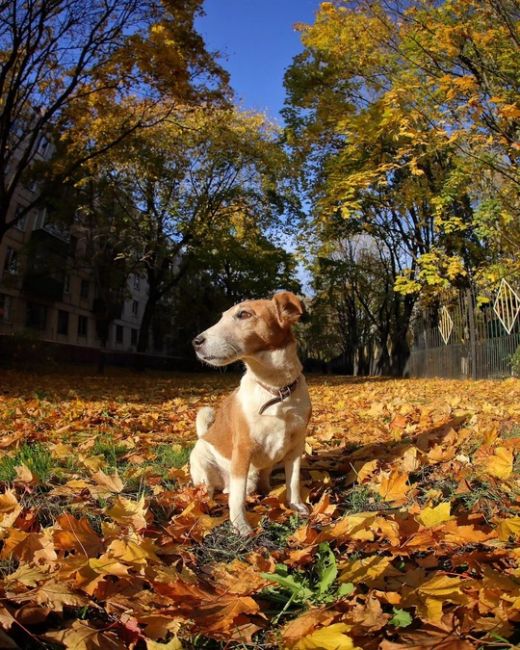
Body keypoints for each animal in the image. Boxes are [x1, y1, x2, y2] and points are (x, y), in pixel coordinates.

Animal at [191, 292, 312, 536]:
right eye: (222, 317)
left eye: (244, 314)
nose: (196, 342)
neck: (276, 390)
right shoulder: (243, 449)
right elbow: (237, 498)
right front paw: (240, 524)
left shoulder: (296, 448)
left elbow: (293, 481)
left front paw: (296, 505)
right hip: (204, 467)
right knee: (218, 491)